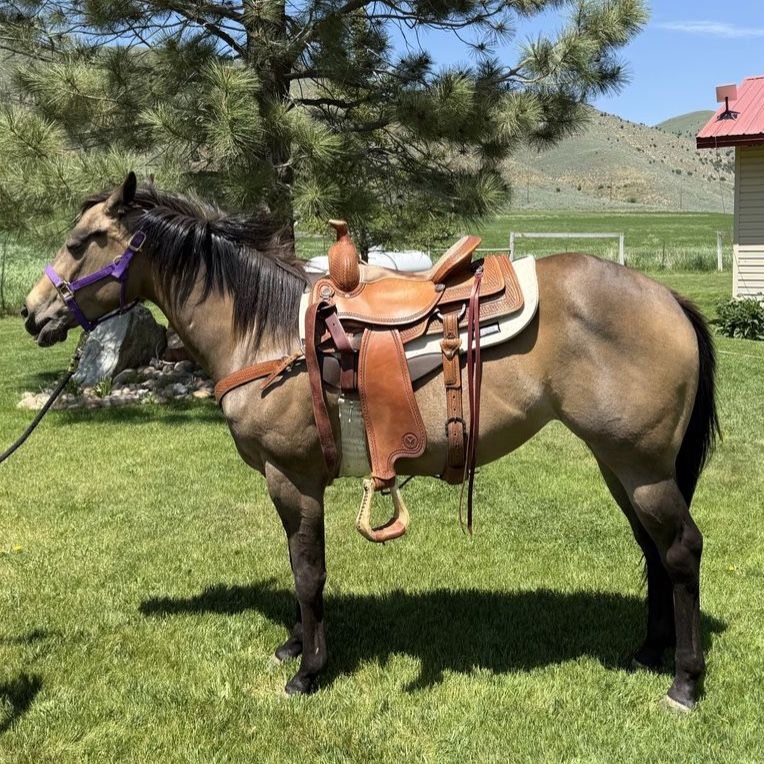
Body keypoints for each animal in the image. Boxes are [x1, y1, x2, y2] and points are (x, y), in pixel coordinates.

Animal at [22, 173, 719, 710]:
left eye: (79, 243)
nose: (32, 313)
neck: (269, 332)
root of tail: (667, 297)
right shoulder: (290, 481)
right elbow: (298, 564)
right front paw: (295, 645)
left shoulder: (292, 476)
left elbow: (307, 571)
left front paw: (308, 670)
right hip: (620, 464)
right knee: (653, 550)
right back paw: (648, 651)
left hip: (642, 466)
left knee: (681, 550)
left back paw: (684, 682)